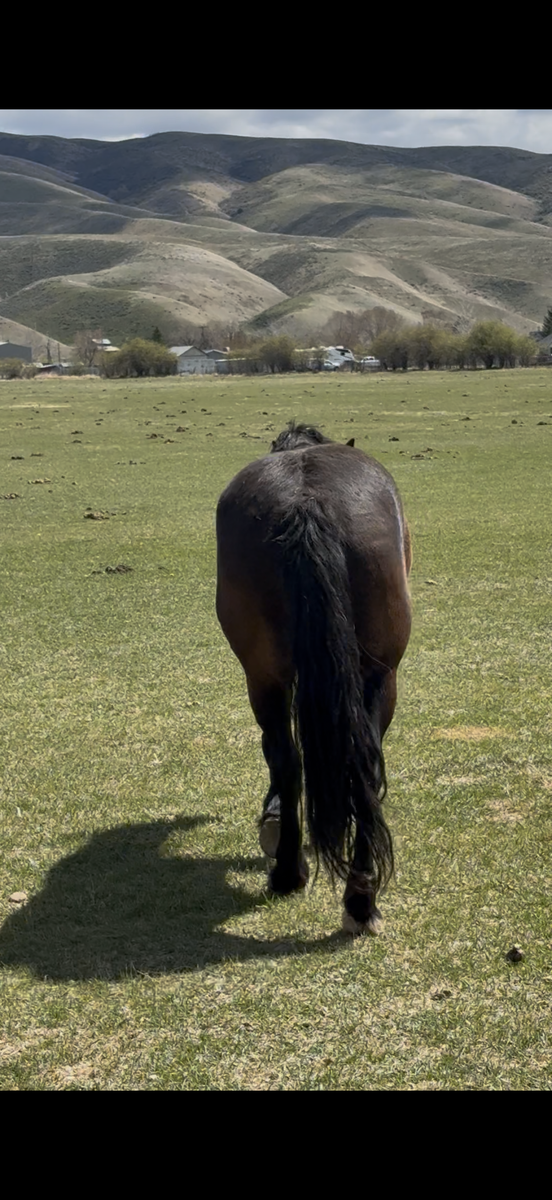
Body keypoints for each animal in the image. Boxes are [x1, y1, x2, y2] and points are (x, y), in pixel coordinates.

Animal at [215, 421, 412, 934]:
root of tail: (308, 504)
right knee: (351, 764)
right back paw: (343, 892)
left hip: (265, 676)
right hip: (376, 677)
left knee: (292, 758)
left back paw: (314, 881)